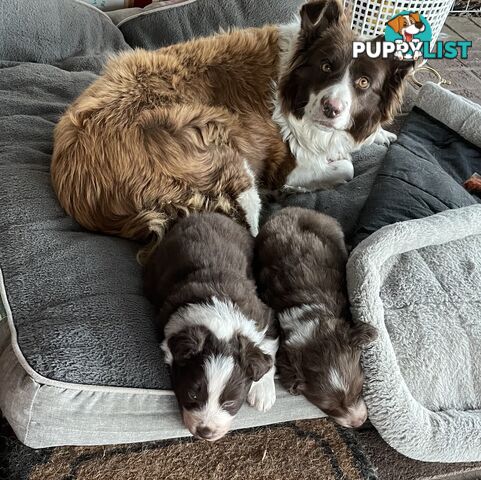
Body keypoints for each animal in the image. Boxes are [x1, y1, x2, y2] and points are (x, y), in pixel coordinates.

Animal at [51, 0, 412, 251]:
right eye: (326, 66)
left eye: (363, 83)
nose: (331, 108)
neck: (290, 85)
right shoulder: (287, 162)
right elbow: (346, 167)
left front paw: (382, 134)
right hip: (227, 163)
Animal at [142, 214, 278, 442]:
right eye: (192, 394)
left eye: (230, 403)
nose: (205, 432)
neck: (221, 324)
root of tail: (205, 214)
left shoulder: (264, 314)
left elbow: (268, 347)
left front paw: (263, 392)